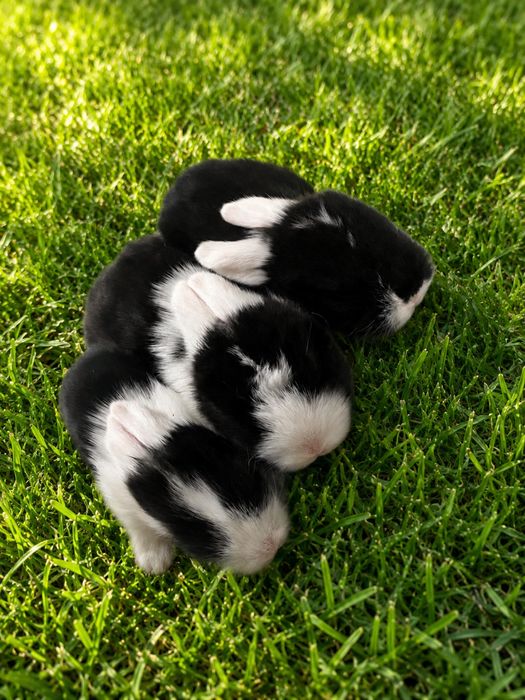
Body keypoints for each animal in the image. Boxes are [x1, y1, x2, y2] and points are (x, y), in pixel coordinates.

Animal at [59, 345, 290, 575]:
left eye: (241, 479)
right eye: (192, 529)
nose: (271, 546)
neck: (154, 447)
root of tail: (81, 364)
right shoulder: (119, 499)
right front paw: (155, 564)